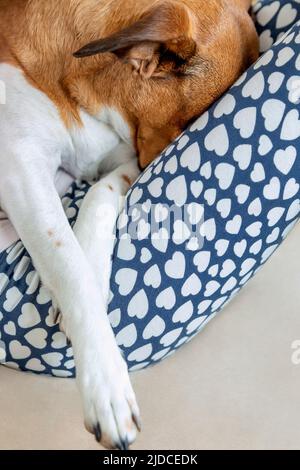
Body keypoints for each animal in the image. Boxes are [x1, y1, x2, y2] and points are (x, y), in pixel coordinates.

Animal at [0, 0, 258, 448]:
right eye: (188, 125)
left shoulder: (122, 162)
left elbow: (97, 202)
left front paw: (93, 270)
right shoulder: (20, 167)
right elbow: (68, 265)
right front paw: (105, 384)